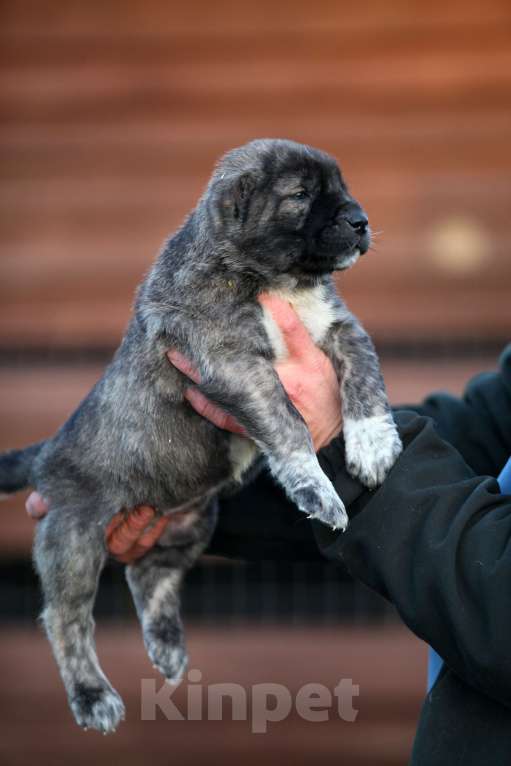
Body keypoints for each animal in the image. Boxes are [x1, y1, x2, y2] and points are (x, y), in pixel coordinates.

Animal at [0, 138, 404, 732]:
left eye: (341, 189)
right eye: (300, 195)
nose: (361, 221)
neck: (279, 280)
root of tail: (47, 451)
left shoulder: (339, 328)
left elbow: (366, 377)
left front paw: (374, 445)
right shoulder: (233, 363)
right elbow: (288, 421)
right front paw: (316, 488)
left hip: (192, 521)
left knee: (152, 578)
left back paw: (167, 644)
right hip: (72, 534)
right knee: (66, 617)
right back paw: (92, 695)